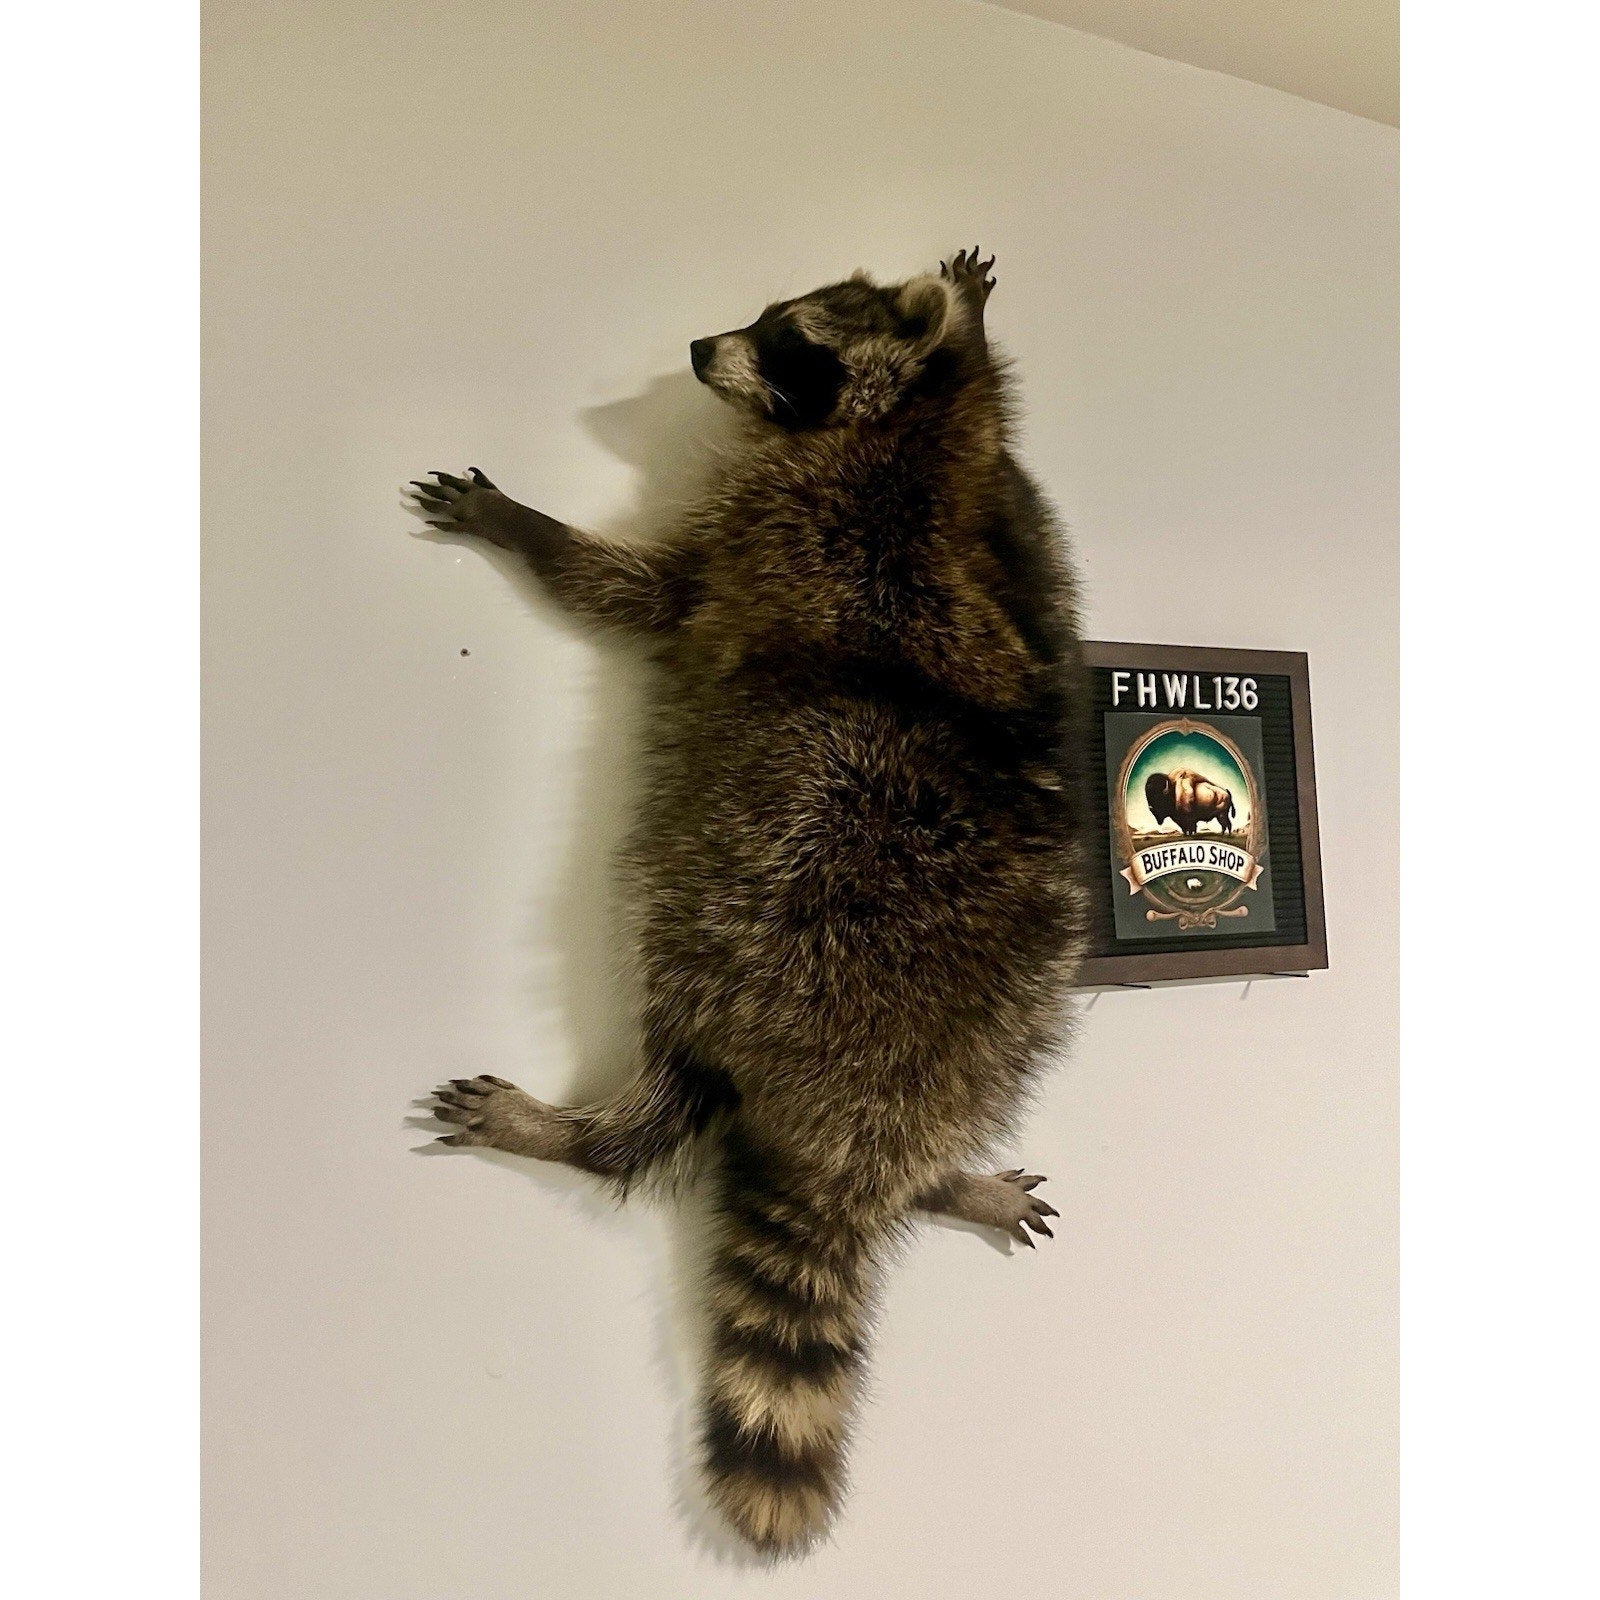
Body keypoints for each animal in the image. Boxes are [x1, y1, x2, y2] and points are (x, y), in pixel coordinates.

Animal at [408, 249, 1090, 1556]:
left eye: (789, 345)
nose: (690, 352)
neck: (903, 433)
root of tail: (853, 1140)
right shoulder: (1022, 532)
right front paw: (974, 322)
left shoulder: (766, 522)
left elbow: (638, 591)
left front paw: (526, 526)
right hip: (1018, 1008)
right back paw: (945, 1180)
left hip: (757, 895)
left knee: (674, 1037)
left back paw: (585, 1129)